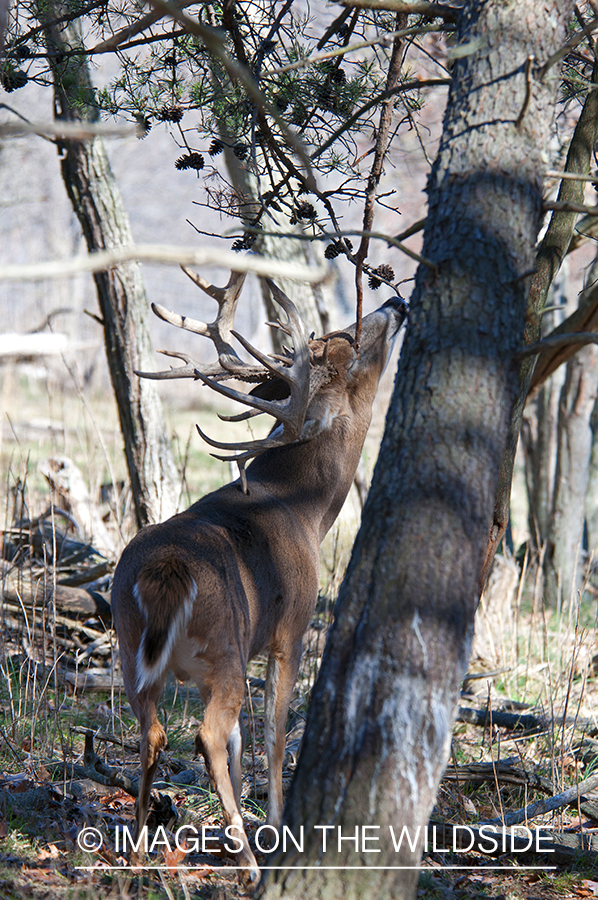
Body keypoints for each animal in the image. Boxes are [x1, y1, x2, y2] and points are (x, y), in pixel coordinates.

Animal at [112, 272, 408, 880]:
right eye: (349, 348)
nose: (395, 302)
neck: (306, 510)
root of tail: (165, 571)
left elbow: (240, 742)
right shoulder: (290, 628)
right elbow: (271, 734)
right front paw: (271, 824)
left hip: (132, 647)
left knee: (155, 732)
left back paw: (138, 846)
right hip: (223, 644)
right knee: (203, 732)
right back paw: (248, 861)